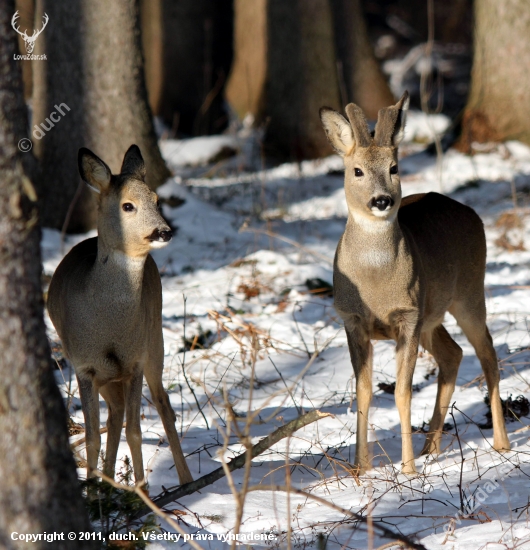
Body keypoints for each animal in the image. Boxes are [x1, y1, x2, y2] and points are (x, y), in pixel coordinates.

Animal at [47, 144, 192, 486]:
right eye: (128, 206)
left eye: (156, 199)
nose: (164, 231)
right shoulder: (84, 365)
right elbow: (92, 438)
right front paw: (95, 488)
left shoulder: (135, 360)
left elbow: (135, 431)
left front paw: (142, 490)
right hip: (108, 375)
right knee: (115, 414)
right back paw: (110, 482)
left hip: (155, 339)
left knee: (163, 405)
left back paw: (187, 481)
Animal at [318, 94, 508, 474]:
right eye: (357, 171)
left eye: (394, 168)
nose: (381, 200)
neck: (375, 287)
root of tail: (472, 213)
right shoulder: (351, 319)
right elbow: (363, 391)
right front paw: (361, 469)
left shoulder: (407, 317)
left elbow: (402, 392)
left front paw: (405, 470)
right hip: (432, 314)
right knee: (454, 353)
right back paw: (429, 448)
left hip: (468, 293)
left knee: (488, 354)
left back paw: (501, 443)